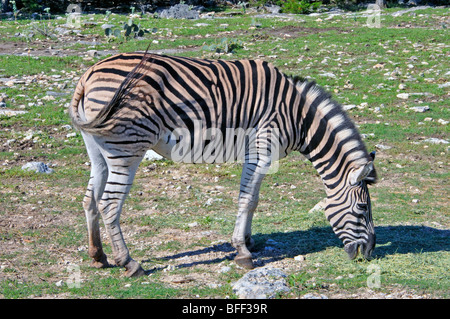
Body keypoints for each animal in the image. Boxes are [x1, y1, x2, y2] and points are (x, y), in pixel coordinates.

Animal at [69, 52, 376, 278]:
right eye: (362, 208)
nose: (369, 253)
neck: (297, 116)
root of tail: (88, 74)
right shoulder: (262, 148)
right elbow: (247, 199)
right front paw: (243, 252)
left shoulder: (257, 153)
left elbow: (253, 199)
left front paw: (249, 241)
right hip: (128, 147)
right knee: (109, 204)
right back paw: (129, 263)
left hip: (98, 148)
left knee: (89, 199)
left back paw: (98, 256)